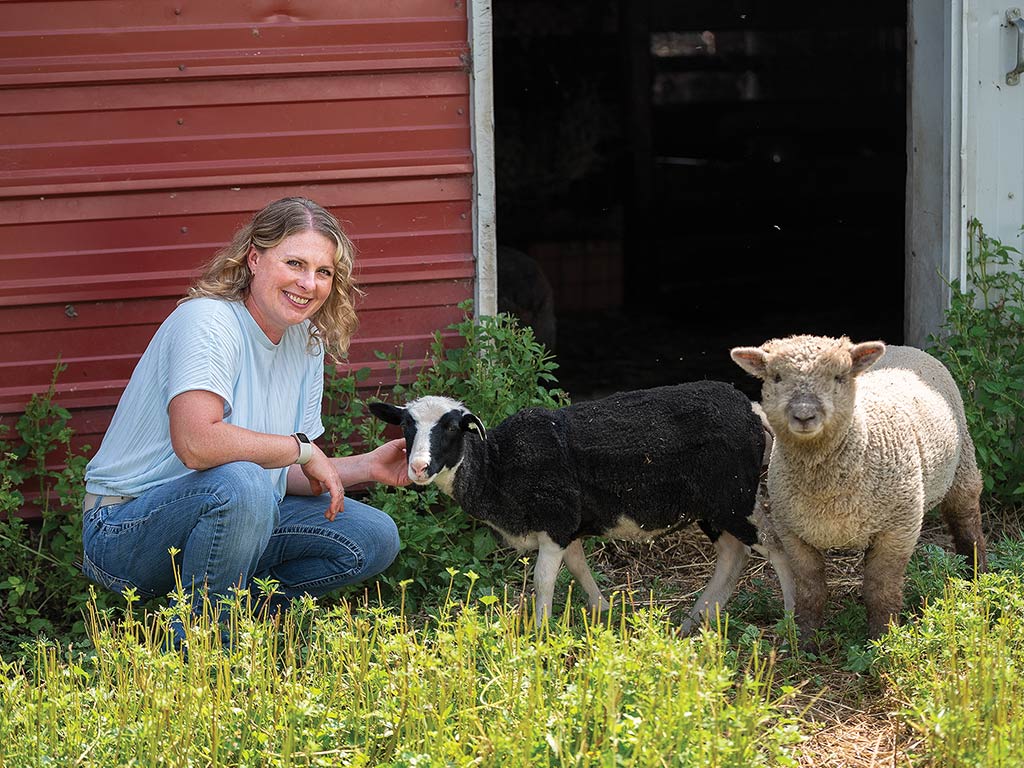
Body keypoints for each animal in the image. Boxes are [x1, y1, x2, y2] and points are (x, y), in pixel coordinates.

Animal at [372, 382, 794, 630]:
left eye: (451, 427)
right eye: (407, 427)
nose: (418, 468)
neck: (497, 465)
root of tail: (752, 411)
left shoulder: (556, 523)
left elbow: (543, 581)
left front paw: (540, 631)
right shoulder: (567, 527)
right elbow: (578, 567)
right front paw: (603, 609)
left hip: (735, 497)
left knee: (775, 547)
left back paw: (791, 617)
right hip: (716, 506)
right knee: (733, 553)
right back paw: (700, 616)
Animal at [729, 337, 983, 651]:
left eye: (839, 376)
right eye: (776, 377)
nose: (804, 416)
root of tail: (903, 347)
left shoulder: (899, 528)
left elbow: (881, 589)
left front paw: (883, 639)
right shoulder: (793, 532)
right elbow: (810, 590)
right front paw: (805, 642)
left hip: (963, 466)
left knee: (967, 522)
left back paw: (977, 575)